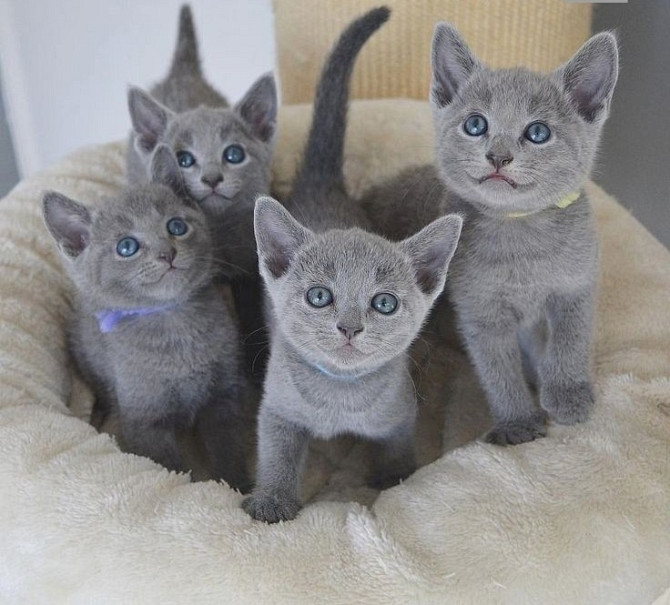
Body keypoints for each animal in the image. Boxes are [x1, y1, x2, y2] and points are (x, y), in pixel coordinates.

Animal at [42, 146, 252, 490]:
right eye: (127, 246)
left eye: (176, 227)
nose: (168, 253)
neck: (175, 324)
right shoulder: (144, 420)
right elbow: (166, 466)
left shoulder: (223, 397)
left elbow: (229, 449)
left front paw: (235, 487)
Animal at [243, 7, 468, 520]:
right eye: (319, 296)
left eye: (384, 304)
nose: (349, 327)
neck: (338, 396)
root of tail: (323, 183)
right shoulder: (277, 407)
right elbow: (276, 452)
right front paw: (271, 501)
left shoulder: (401, 412)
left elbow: (397, 445)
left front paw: (393, 478)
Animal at [364, 24, 624, 444]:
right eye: (475, 125)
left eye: (538, 132)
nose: (498, 156)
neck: (520, 234)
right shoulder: (480, 311)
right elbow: (498, 369)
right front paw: (518, 422)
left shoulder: (576, 286)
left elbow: (570, 339)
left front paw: (567, 393)